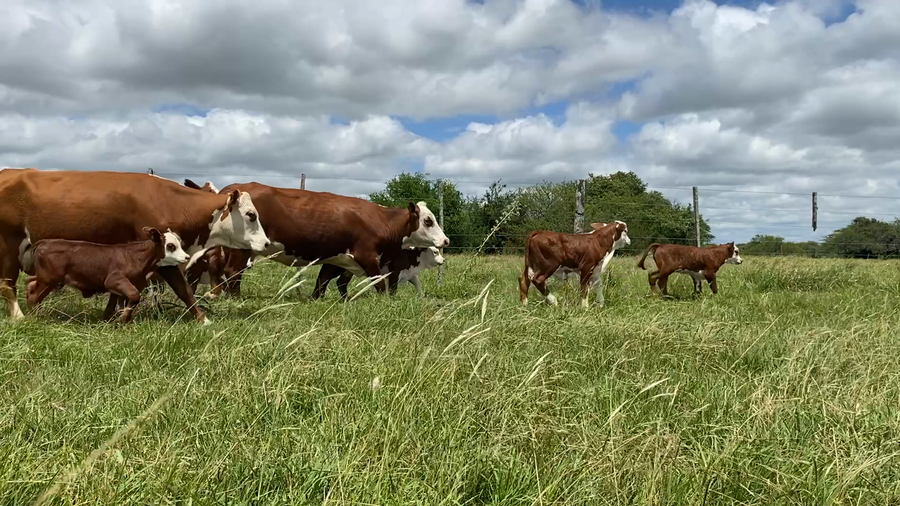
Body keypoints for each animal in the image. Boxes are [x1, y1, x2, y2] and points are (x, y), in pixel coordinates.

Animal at [24, 227, 191, 323]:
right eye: (170, 246)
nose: (187, 257)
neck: (137, 257)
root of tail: (45, 242)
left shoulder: (119, 288)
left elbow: (115, 305)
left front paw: (115, 321)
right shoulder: (113, 280)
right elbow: (134, 296)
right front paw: (123, 320)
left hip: (48, 280)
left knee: (31, 286)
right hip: (48, 279)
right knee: (33, 294)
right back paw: (35, 317)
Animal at [317, 245, 445, 299]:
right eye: (435, 252)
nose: (443, 260)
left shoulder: (409, 273)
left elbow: (418, 284)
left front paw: (422, 296)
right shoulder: (394, 273)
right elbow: (393, 288)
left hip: (348, 270)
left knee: (341, 282)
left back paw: (345, 298)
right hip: (336, 267)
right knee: (324, 278)